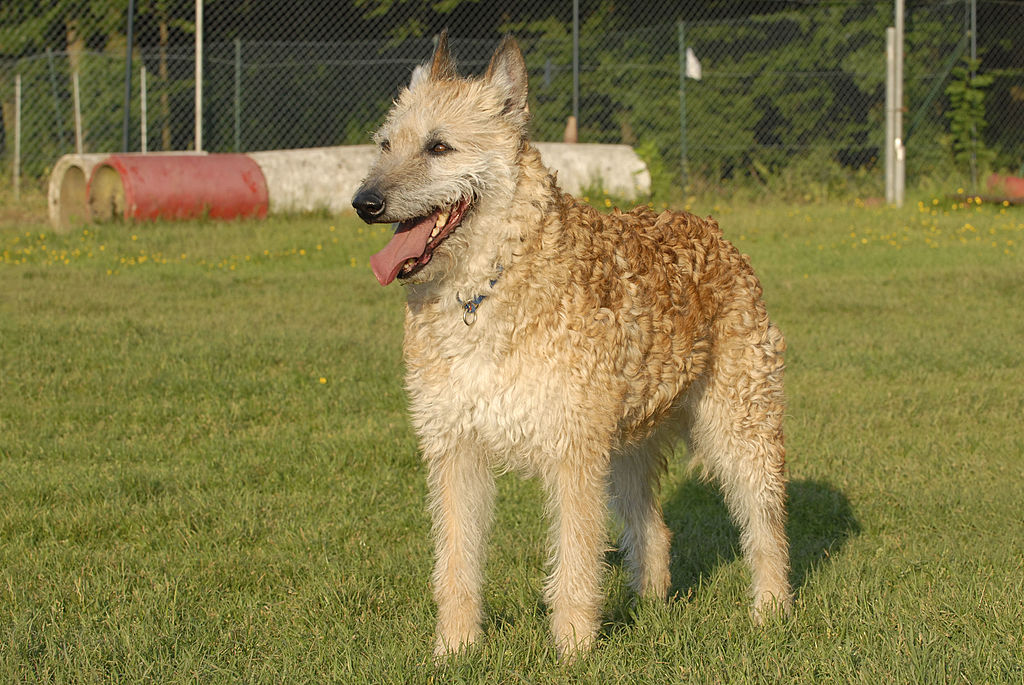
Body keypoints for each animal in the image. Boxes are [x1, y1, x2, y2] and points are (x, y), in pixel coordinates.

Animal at [352, 33, 790, 663]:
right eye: (386, 145)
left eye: (439, 146)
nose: (364, 201)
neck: (485, 289)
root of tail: (714, 231)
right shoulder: (455, 450)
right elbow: (456, 563)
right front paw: (455, 648)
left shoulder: (573, 454)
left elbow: (576, 563)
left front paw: (574, 650)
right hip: (629, 448)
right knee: (654, 528)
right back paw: (651, 606)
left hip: (740, 429)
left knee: (767, 525)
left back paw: (771, 610)